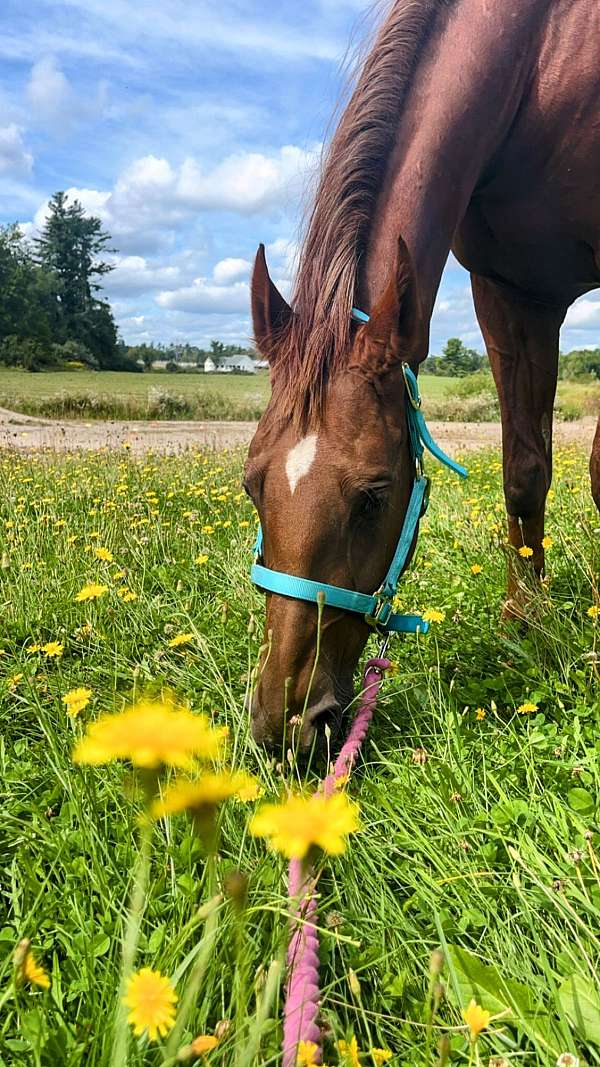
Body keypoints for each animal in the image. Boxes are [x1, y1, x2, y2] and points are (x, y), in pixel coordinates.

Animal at [245, 0, 600, 751]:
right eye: (252, 485)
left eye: (374, 497)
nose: (285, 728)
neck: (541, 58)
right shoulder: (511, 293)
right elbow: (524, 470)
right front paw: (525, 626)